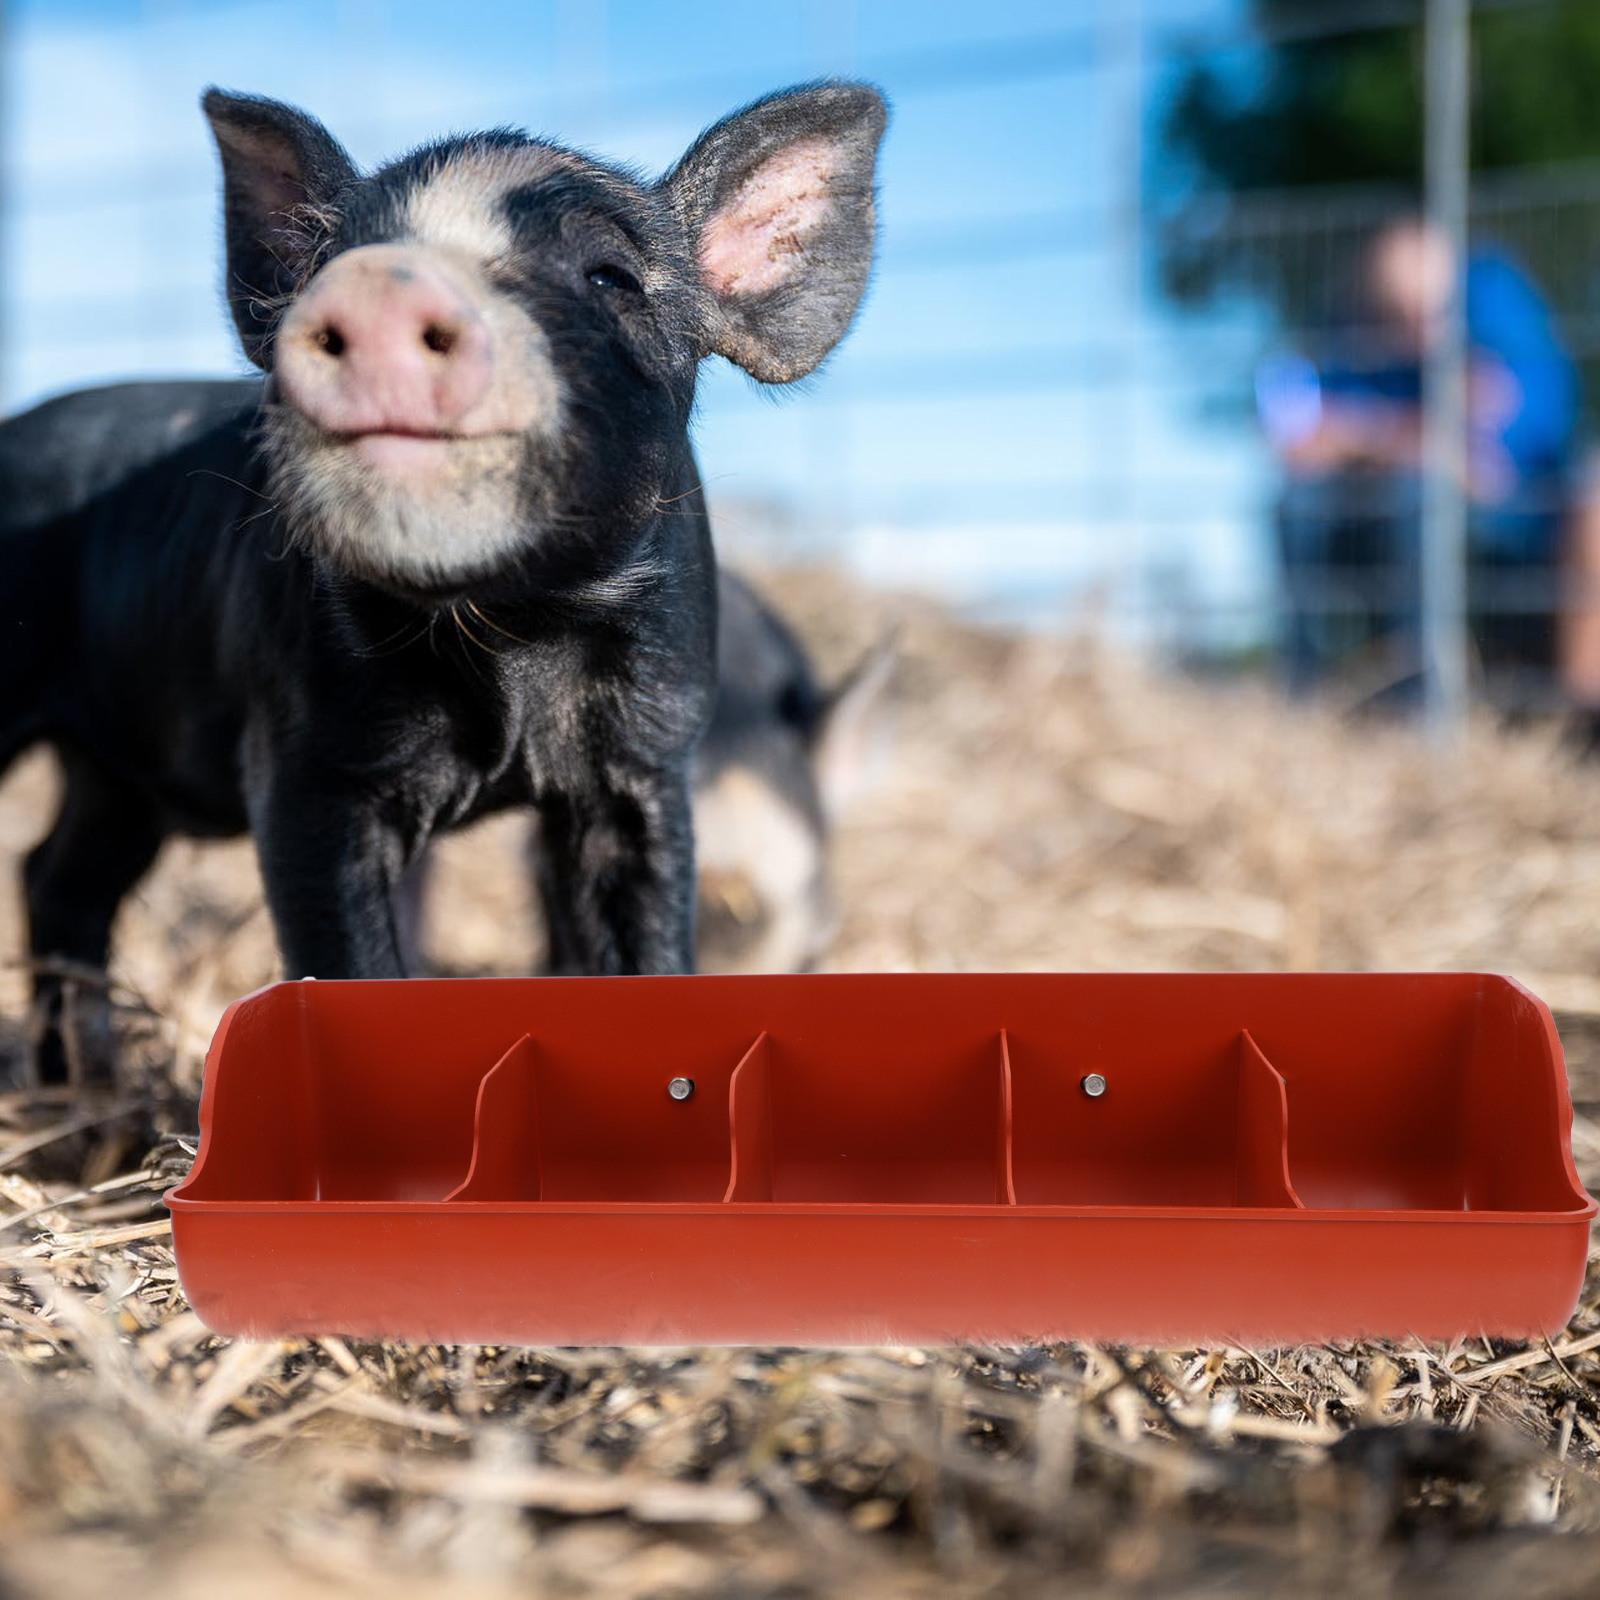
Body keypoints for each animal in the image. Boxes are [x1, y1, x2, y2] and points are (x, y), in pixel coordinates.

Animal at [0, 82, 887, 1081]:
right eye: (331, 263)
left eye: (610, 277)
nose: (382, 281)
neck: (512, 634)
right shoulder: (307, 765)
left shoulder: (649, 763)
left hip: (119, 771)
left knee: (59, 874)